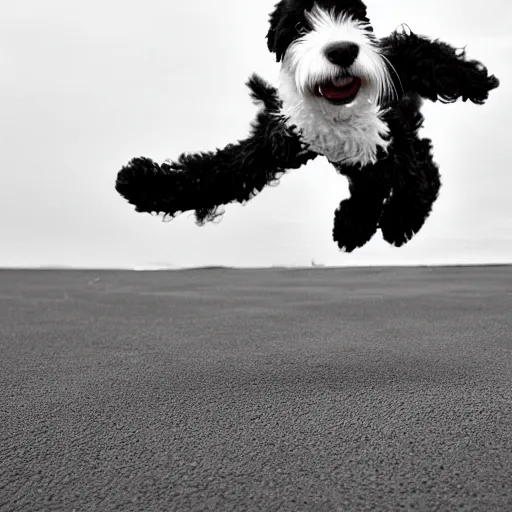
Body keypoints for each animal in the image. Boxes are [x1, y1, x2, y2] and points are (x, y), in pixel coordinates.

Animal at [114, 0, 498, 252]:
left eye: (353, 16)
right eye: (300, 27)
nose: (342, 50)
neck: (339, 113)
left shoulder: (391, 115)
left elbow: (417, 172)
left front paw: (400, 218)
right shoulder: (279, 139)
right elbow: (214, 174)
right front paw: (139, 182)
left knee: (419, 167)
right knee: (375, 183)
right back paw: (353, 225)